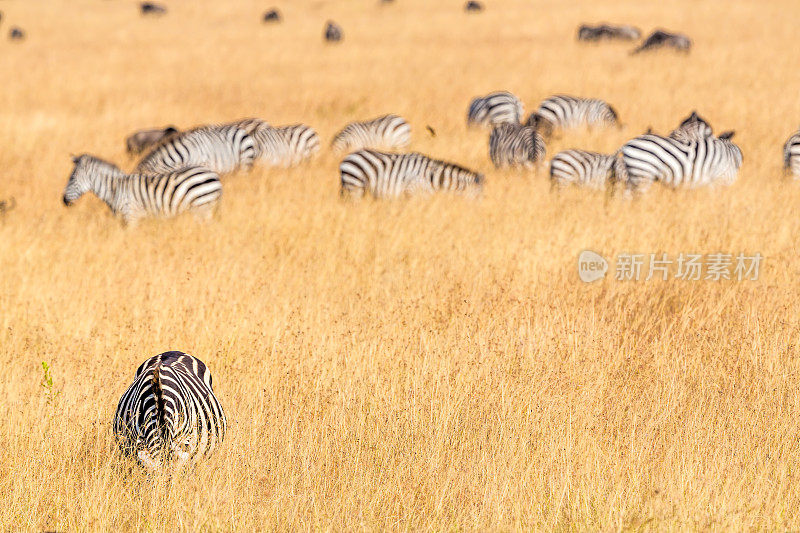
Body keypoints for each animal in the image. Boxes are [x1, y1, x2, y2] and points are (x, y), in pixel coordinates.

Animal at [62, 154, 222, 222]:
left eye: (72, 179)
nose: (63, 201)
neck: (115, 189)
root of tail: (213, 174)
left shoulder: (131, 216)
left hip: (202, 207)